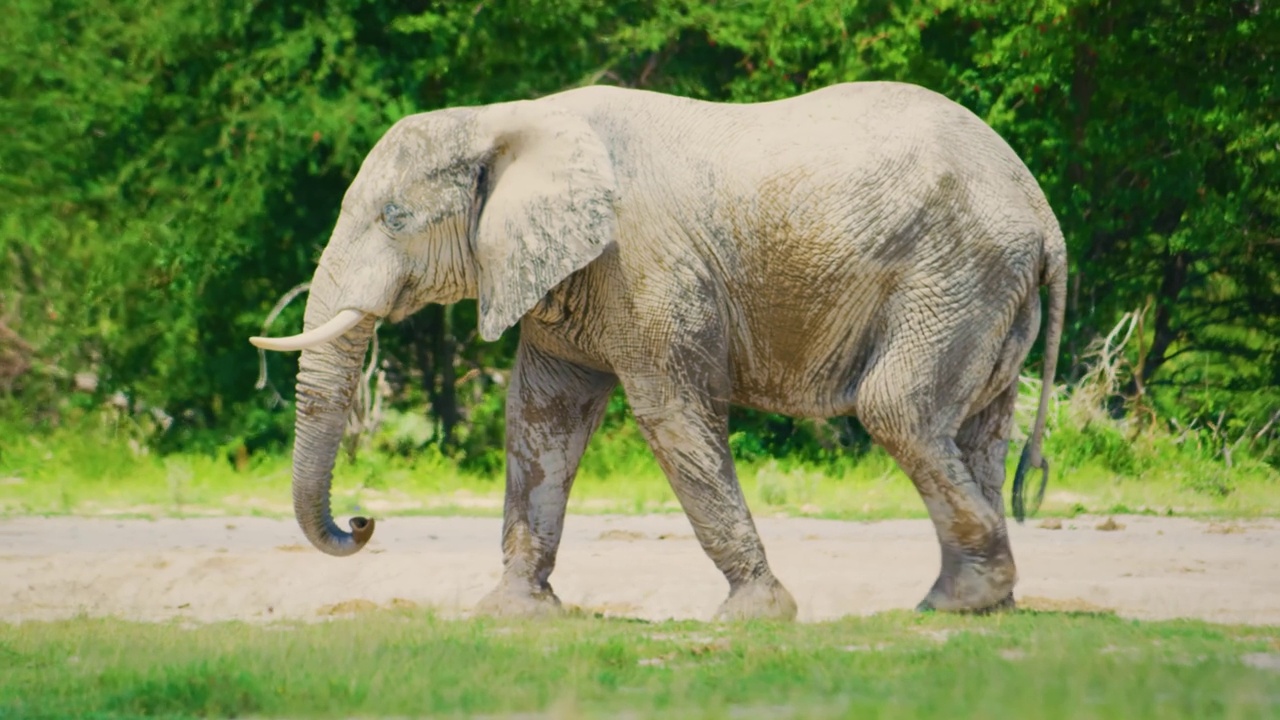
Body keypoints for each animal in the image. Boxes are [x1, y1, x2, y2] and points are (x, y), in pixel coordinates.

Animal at [252, 77, 1070, 617]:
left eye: (394, 218)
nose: (362, 522)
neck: (506, 118)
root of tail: (1044, 215)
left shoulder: (643, 266)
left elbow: (670, 413)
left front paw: (754, 618)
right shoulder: (564, 273)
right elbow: (541, 419)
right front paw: (514, 613)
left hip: (954, 275)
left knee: (896, 409)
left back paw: (958, 602)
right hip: (984, 293)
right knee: (976, 428)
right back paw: (976, 605)